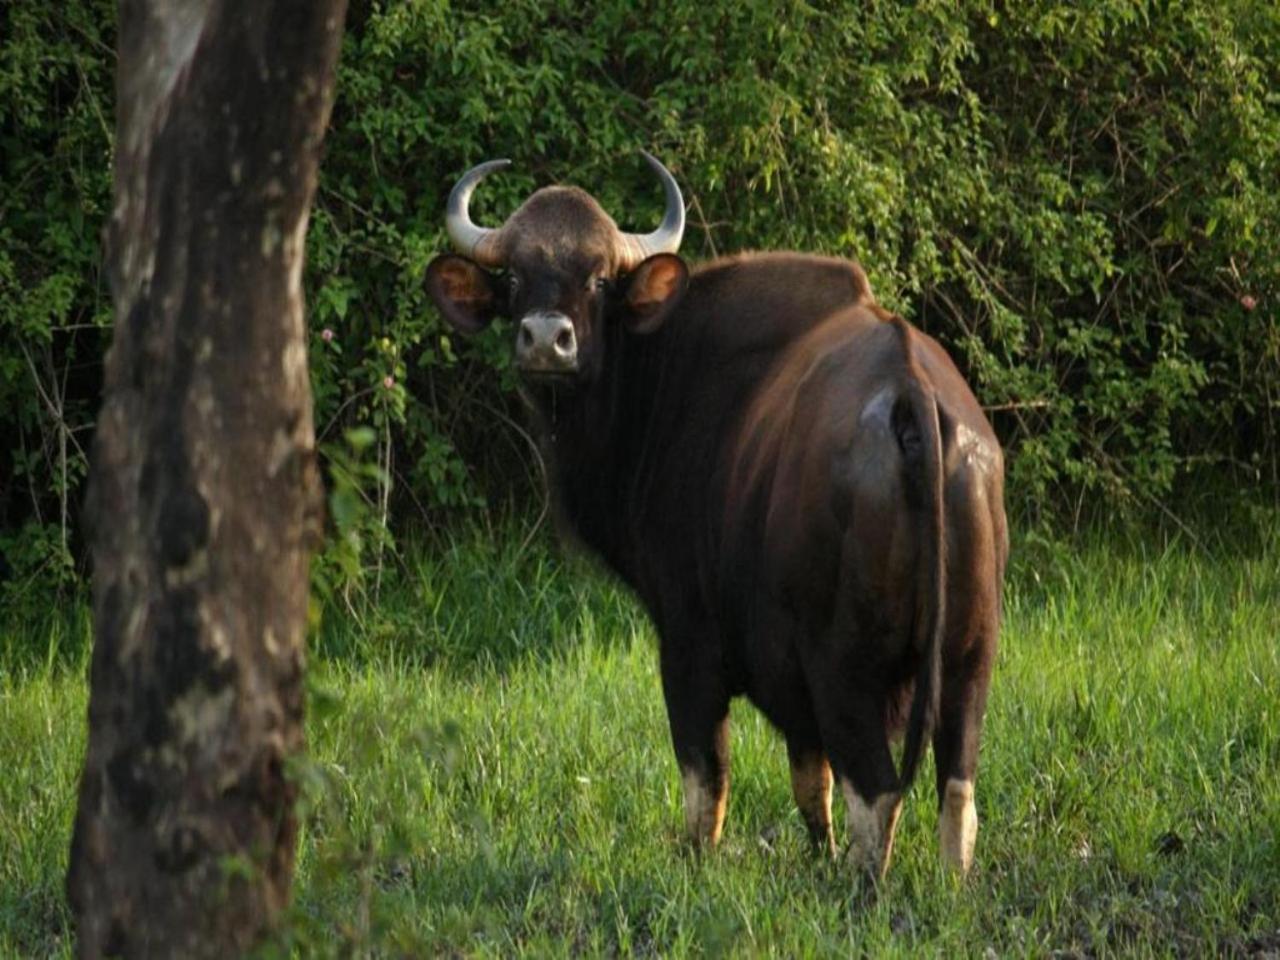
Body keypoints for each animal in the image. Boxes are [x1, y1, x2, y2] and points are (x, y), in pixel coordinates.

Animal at [430, 152, 1008, 880]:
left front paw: (696, 860)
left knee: (875, 788)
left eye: (598, 278)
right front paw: (815, 855)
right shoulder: (790, 675)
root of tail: (912, 394)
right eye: (512, 276)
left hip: (846, 663)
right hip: (970, 656)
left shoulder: (689, 640)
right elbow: (808, 779)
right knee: (956, 789)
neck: (656, 374)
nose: (545, 341)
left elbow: (706, 775)